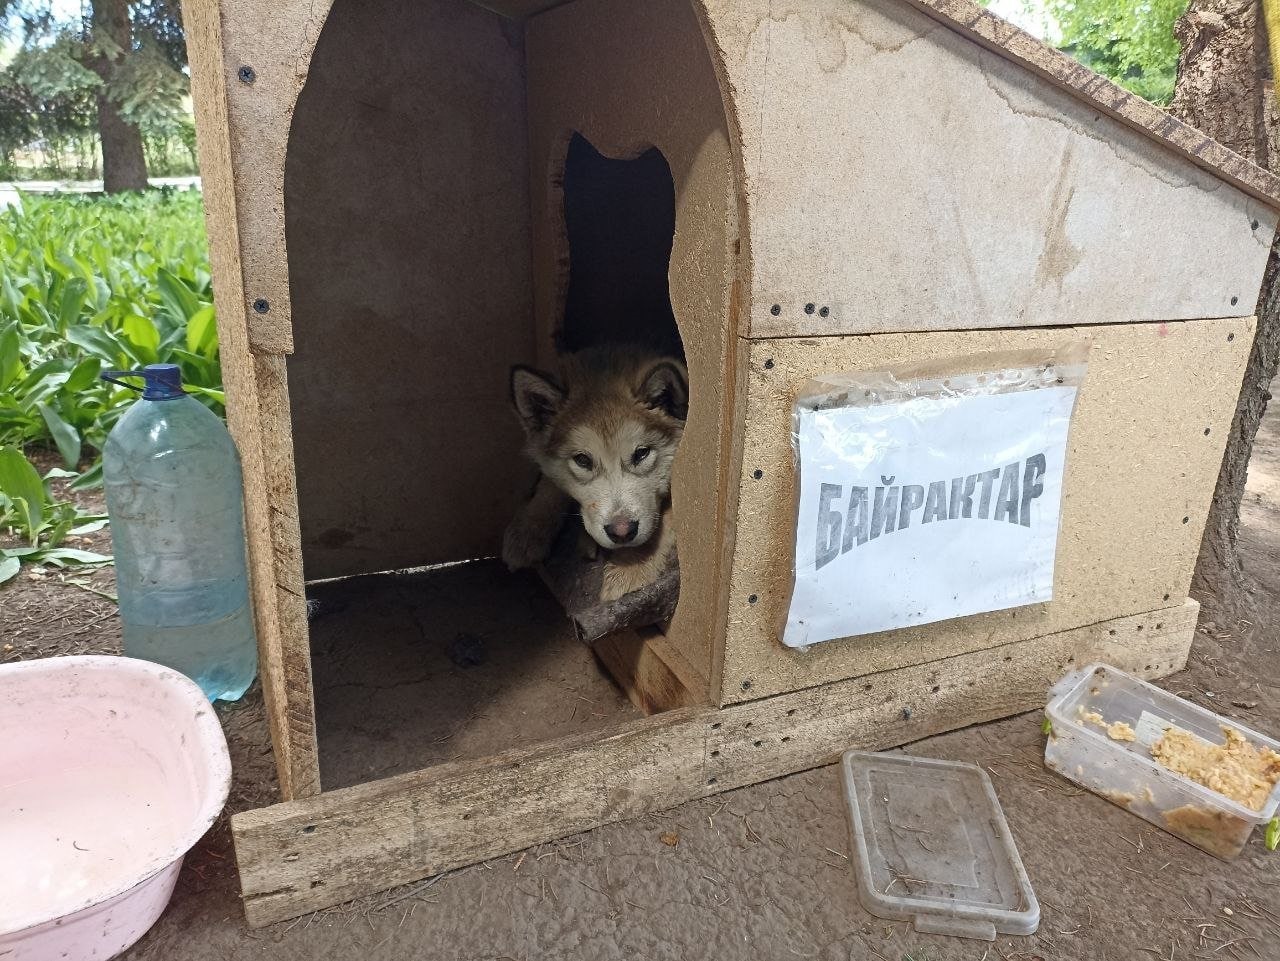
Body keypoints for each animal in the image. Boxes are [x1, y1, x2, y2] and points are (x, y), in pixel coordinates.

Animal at [496, 342, 686, 601]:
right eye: (582, 460)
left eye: (641, 453)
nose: (621, 532)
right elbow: (549, 483)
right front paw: (528, 529)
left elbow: (669, 516)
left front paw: (630, 568)